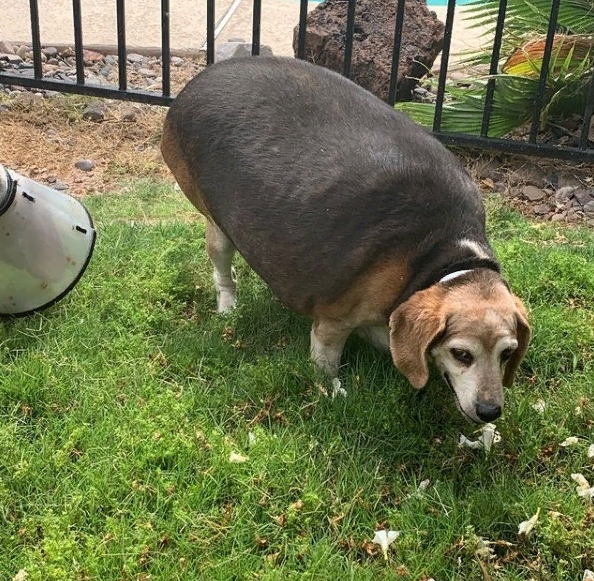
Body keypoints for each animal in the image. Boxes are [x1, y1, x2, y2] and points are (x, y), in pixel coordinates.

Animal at [160, 56, 528, 424]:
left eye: (507, 353)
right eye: (461, 354)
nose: (491, 411)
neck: (443, 255)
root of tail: (202, 79)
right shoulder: (332, 323)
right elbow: (326, 365)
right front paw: (334, 391)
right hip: (217, 229)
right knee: (224, 272)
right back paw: (227, 308)